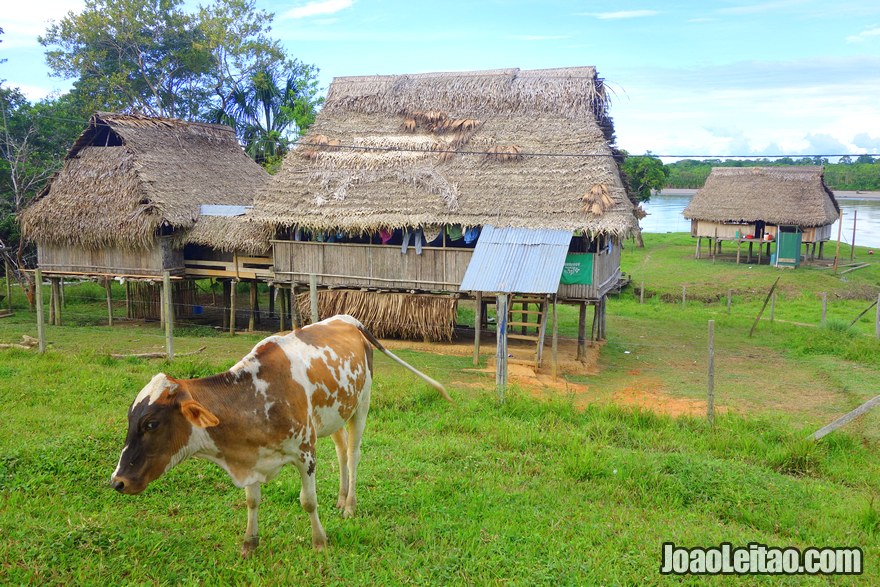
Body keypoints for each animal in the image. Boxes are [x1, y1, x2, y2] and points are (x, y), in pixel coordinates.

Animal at [111, 314, 450, 552]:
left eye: (151, 424)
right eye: (130, 419)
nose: (118, 481)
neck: (258, 395)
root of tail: (349, 320)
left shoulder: (306, 453)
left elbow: (308, 500)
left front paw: (319, 541)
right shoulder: (250, 455)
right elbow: (252, 501)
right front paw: (250, 542)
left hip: (361, 405)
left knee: (353, 455)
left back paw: (350, 505)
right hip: (334, 415)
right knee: (341, 451)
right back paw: (341, 499)